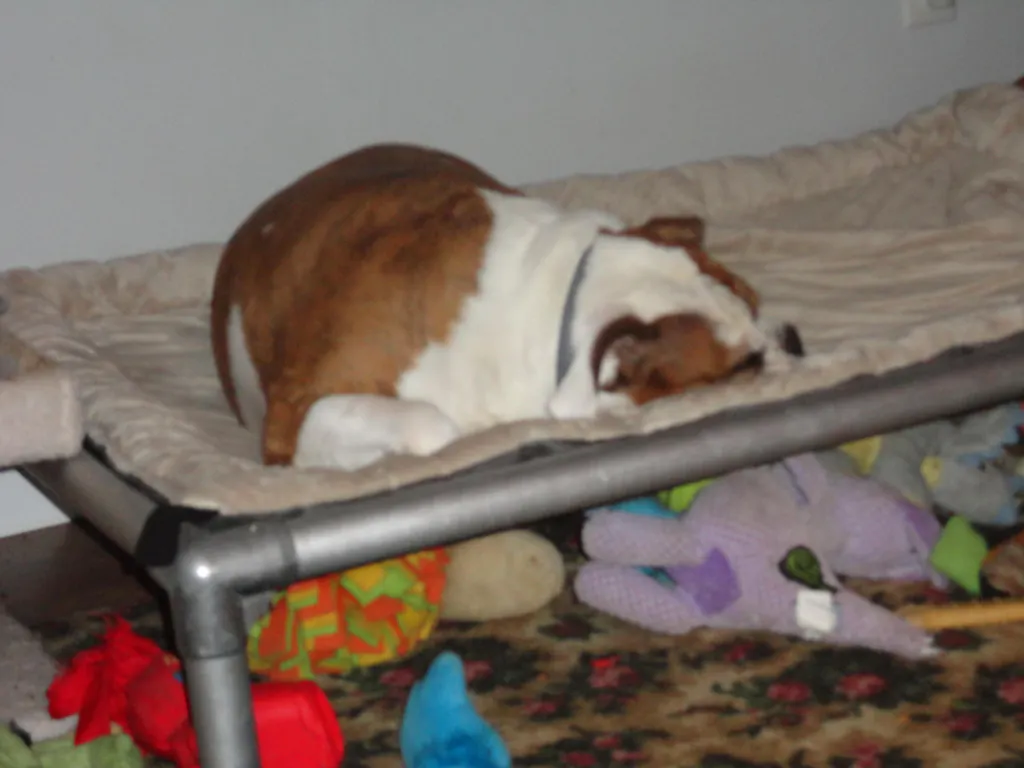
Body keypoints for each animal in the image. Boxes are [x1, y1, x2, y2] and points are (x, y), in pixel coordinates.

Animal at [211, 143, 797, 471]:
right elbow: (433, 425)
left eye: (754, 300)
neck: (564, 295)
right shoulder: (301, 412)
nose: (793, 336)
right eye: (742, 366)